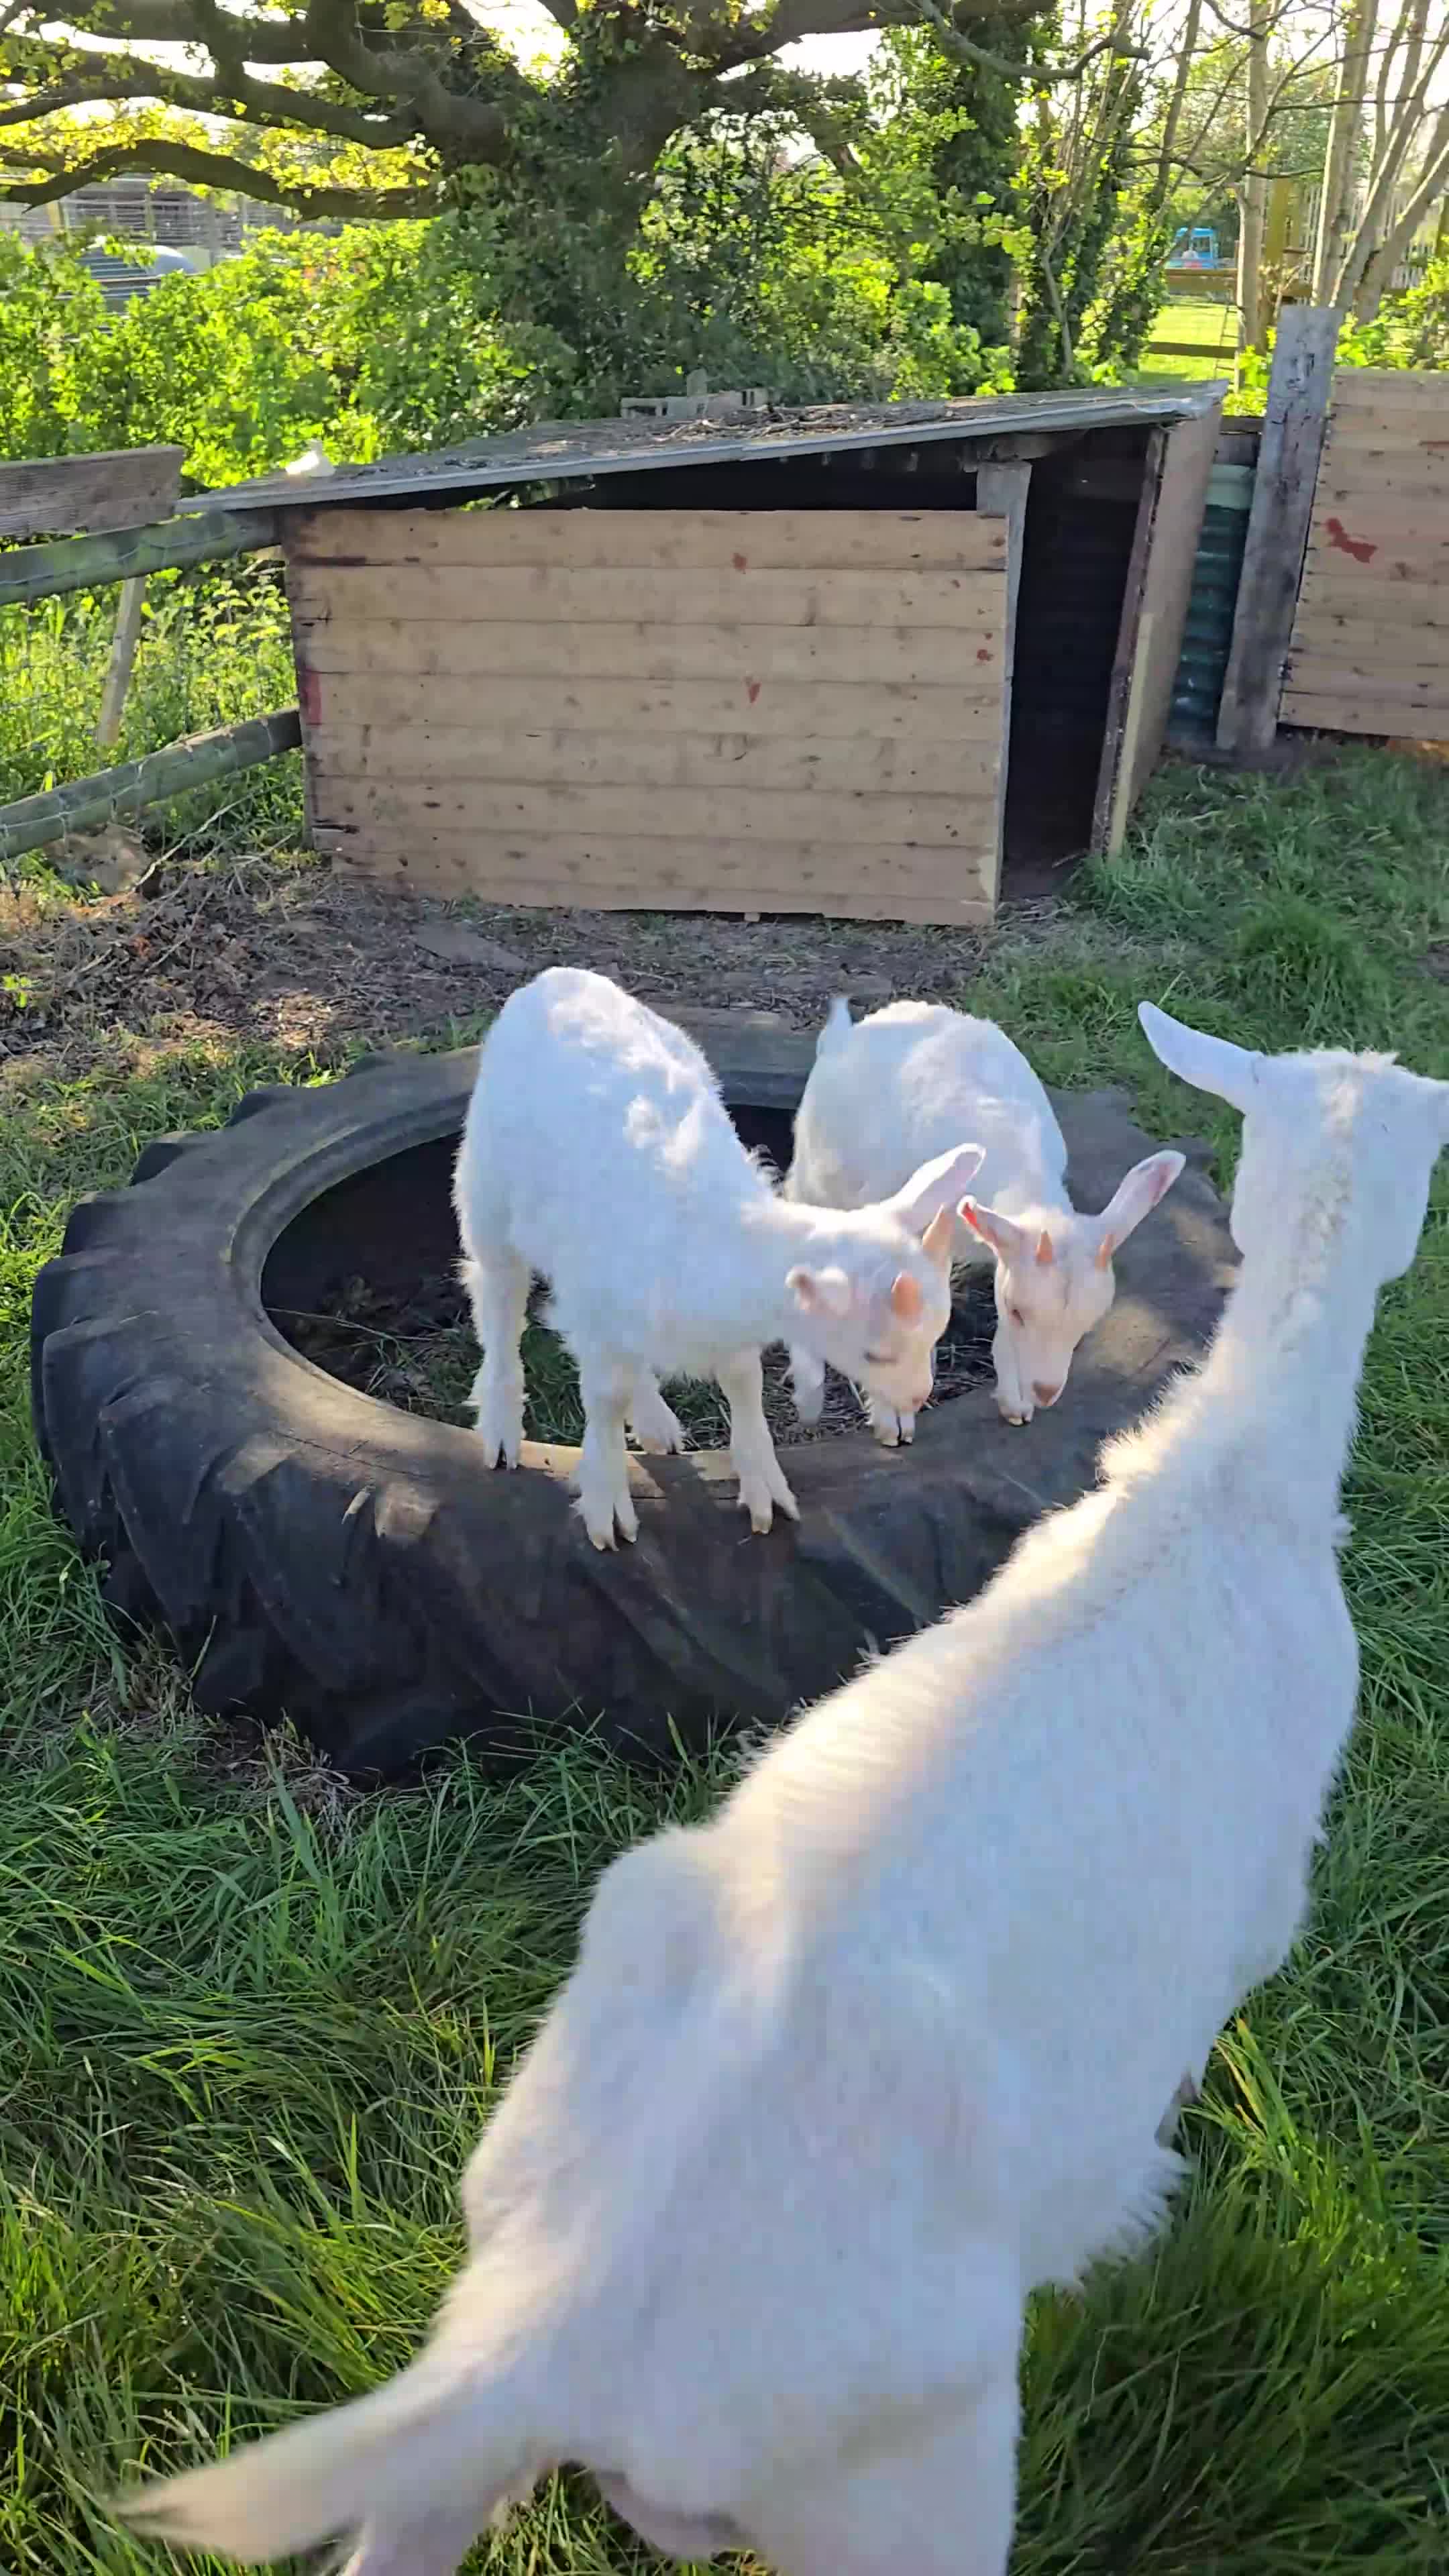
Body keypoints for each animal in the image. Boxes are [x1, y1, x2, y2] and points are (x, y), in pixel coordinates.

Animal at [450, 968, 983, 1549]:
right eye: (874, 1354)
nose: (918, 1398)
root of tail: (554, 980)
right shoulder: (595, 1313)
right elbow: (605, 1399)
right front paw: (607, 1505)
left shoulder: (717, 1327)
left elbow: (743, 1381)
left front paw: (765, 1488)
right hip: (488, 1196)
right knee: (498, 1303)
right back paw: (502, 1430)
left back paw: (656, 1425)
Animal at [784, 997, 1185, 1439]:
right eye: (1019, 1311)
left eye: (1091, 1321)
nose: (1046, 1392)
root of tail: (844, 1034)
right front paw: (893, 1422)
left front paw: (1016, 1404)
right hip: (814, 1173)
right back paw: (808, 1397)